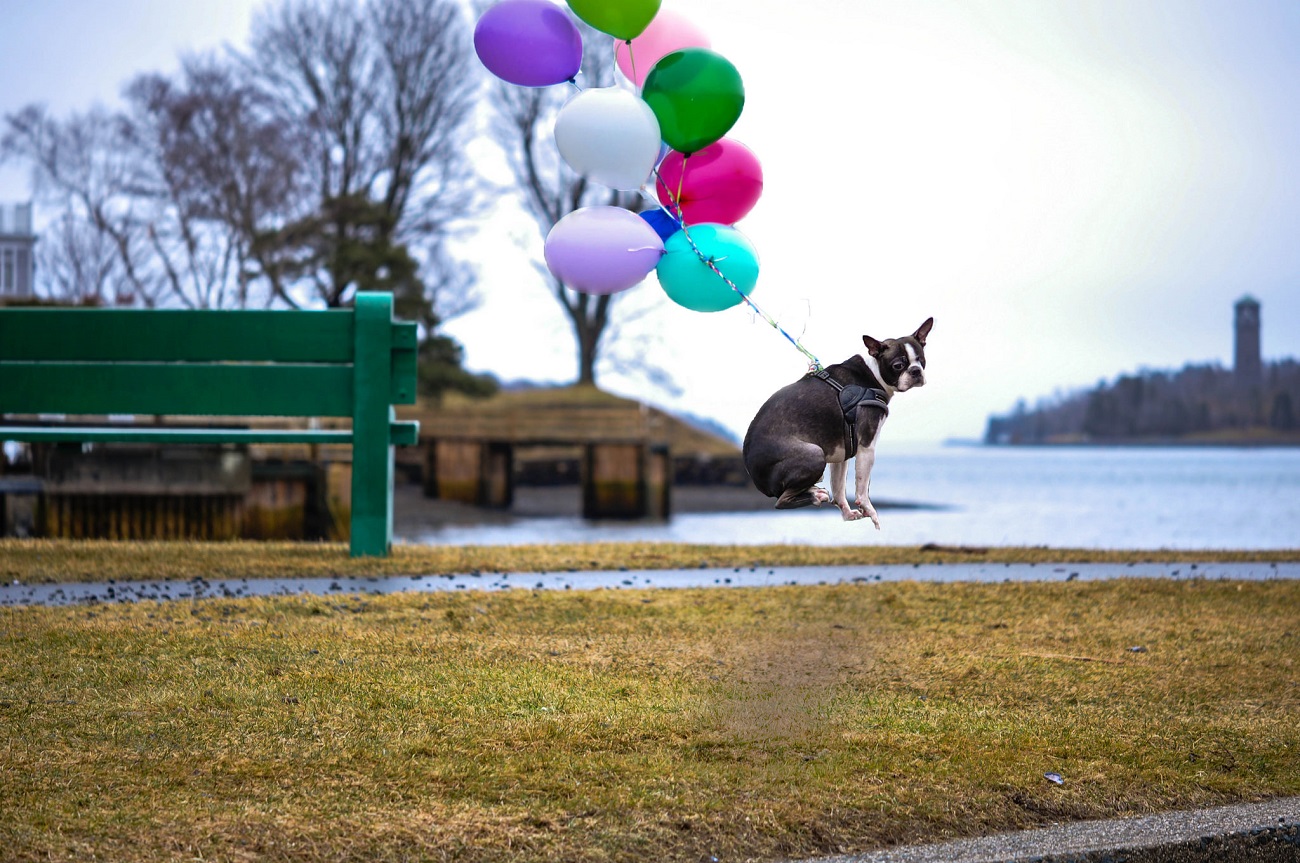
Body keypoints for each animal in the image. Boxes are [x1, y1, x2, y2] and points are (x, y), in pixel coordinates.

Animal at [743, 319, 935, 530]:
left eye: (921, 360)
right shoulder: (867, 446)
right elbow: (862, 487)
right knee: (781, 500)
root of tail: (756, 478)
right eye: (898, 365)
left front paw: (847, 513)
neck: (872, 372)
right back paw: (814, 496)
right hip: (815, 453)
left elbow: (839, 487)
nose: (916, 371)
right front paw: (870, 511)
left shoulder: (841, 453)